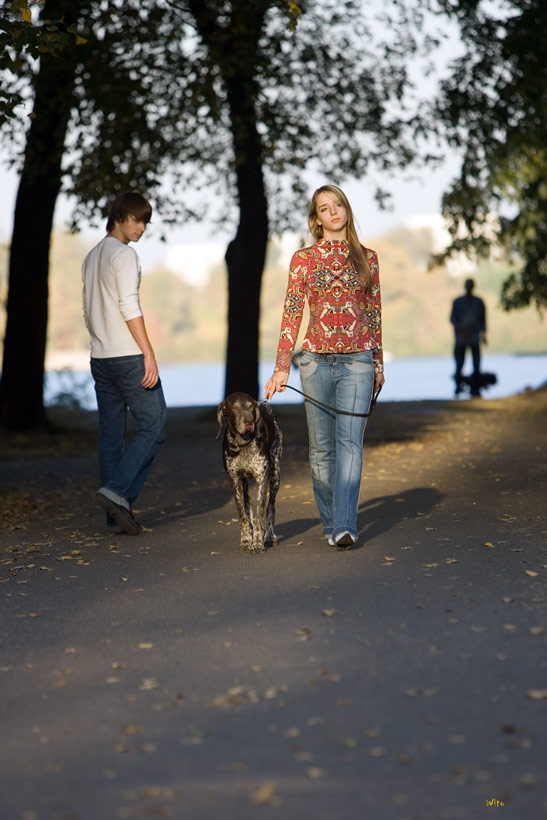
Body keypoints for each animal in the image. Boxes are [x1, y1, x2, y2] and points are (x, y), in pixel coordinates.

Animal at [216, 394, 282, 556]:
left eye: (251, 406)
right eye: (234, 407)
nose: (249, 422)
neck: (243, 444)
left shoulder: (261, 479)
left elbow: (259, 515)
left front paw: (257, 543)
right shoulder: (235, 481)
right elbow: (243, 515)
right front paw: (246, 540)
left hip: (275, 475)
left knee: (270, 508)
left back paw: (269, 536)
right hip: (245, 484)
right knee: (248, 507)